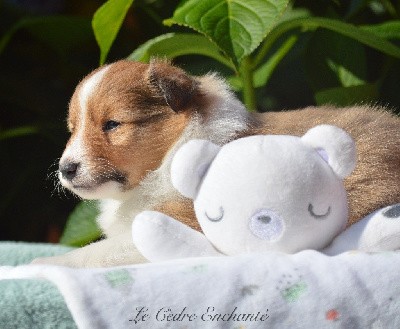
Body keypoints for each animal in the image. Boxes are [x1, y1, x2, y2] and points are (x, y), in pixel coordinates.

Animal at [32, 60, 400, 268]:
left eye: (112, 124)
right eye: (72, 127)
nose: (65, 169)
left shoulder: (181, 221)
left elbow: (91, 253)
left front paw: (39, 264)